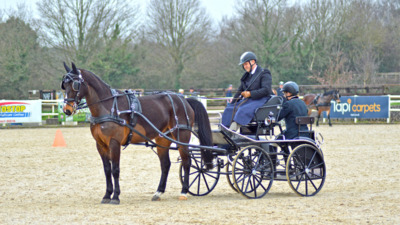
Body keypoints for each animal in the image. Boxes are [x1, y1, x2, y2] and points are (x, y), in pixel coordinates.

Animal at [59, 61, 214, 204]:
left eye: (75, 84)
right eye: (64, 85)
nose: (67, 109)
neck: (108, 107)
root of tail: (183, 99)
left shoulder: (114, 143)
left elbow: (115, 169)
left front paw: (115, 197)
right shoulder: (100, 144)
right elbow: (107, 170)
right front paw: (107, 195)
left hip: (182, 136)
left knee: (187, 162)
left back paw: (184, 192)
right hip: (163, 139)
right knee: (165, 165)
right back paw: (158, 192)